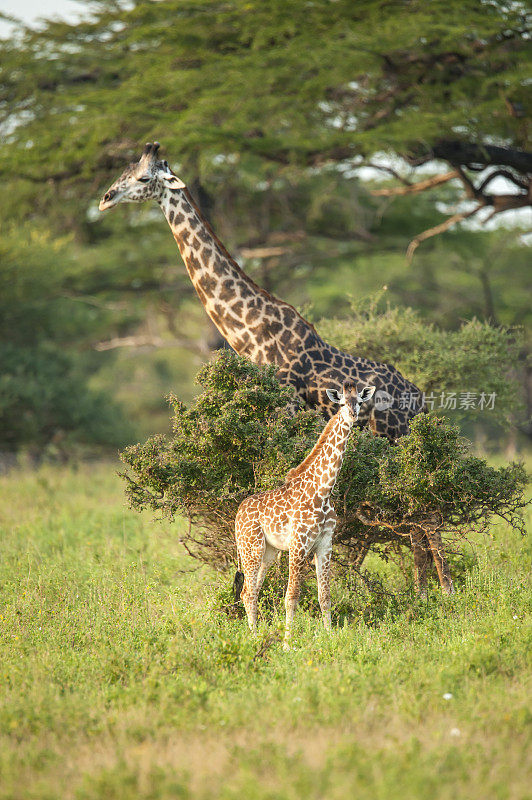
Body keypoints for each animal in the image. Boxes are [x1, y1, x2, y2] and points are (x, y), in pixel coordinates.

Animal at [100, 142, 454, 592]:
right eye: (124, 171)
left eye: (143, 178)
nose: (105, 198)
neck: (251, 329)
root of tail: (420, 399)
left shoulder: (284, 410)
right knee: (412, 516)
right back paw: (423, 590)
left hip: (398, 438)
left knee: (427, 511)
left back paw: (443, 591)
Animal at [235, 382, 376, 648]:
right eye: (342, 402)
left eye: (360, 402)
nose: (353, 416)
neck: (323, 491)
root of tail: (238, 514)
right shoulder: (298, 542)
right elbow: (292, 595)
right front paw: (288, 644)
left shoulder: (325, 543)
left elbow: (325, 595)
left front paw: (329, 636)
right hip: (251, 547)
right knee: (247, 591)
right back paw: (254, 638)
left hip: (269, 552)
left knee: (252, 590)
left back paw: (255, 634)